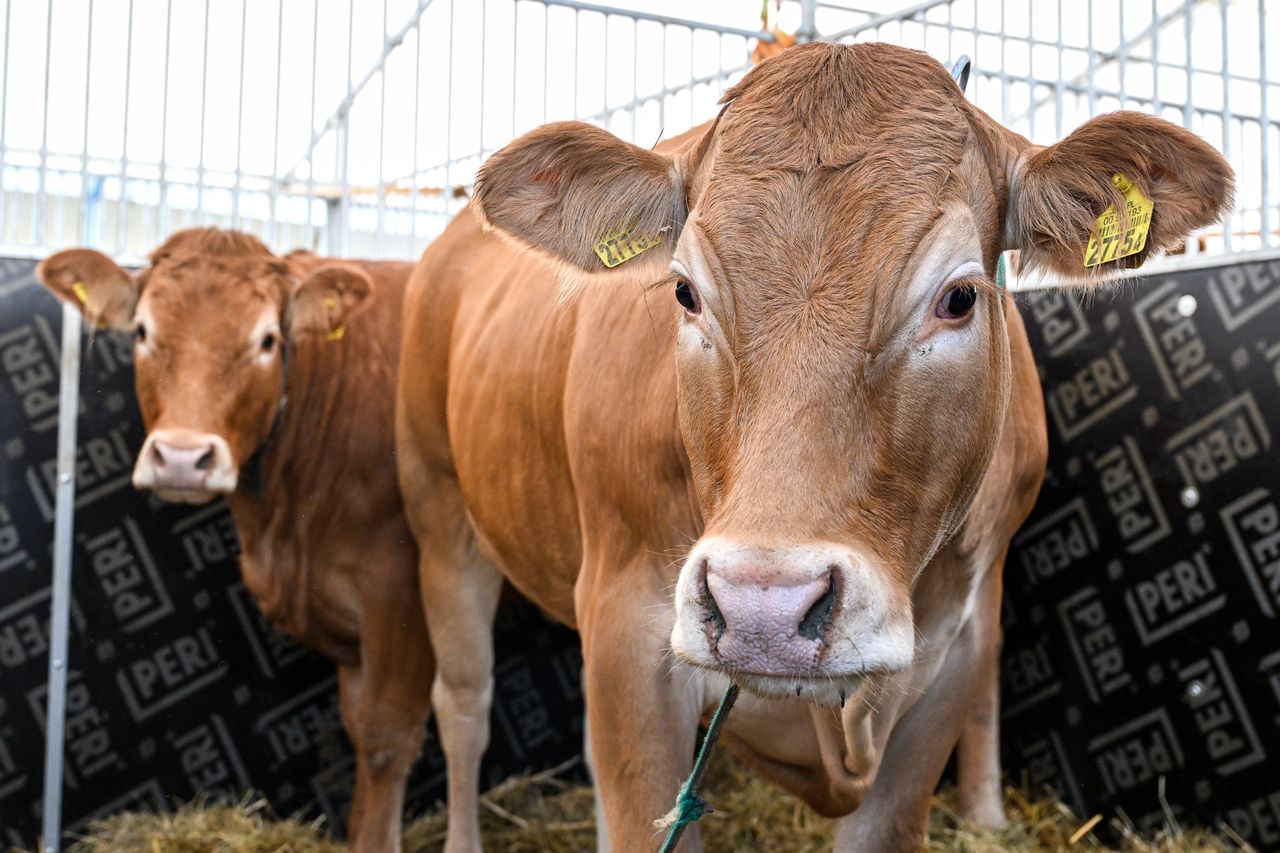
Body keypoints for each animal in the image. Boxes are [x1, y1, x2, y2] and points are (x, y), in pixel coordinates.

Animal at [38, 227, 430, 850]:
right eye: (143, 331)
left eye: (267, 339)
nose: (181, 459)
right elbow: (358, 724)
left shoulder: (400, 591)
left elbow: (386, 738)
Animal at [396, 41, 1228, 850]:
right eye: (684, 292)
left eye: (960, 297)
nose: (762, 607)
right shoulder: (627, 629)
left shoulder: (952, 659)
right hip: (440, 517)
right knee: (463, 704)